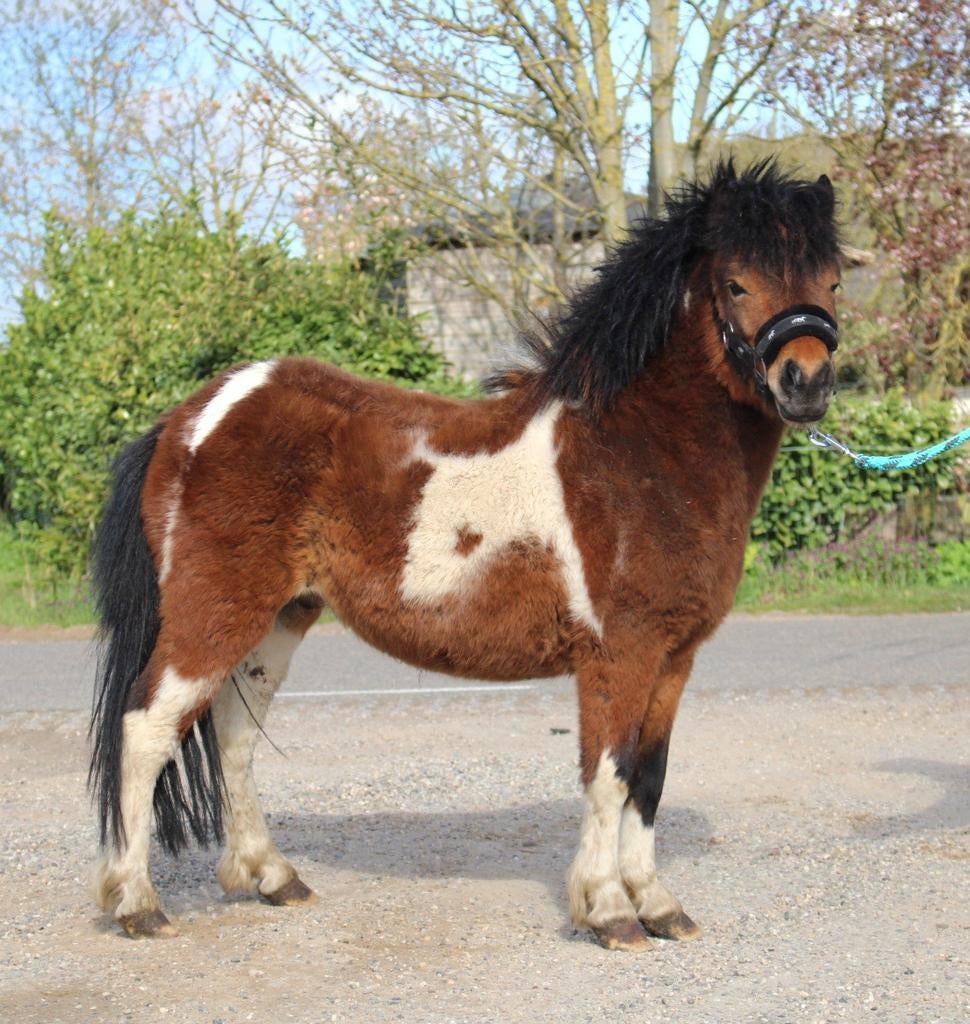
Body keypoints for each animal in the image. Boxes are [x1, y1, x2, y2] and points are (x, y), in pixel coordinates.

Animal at [89, 159, 842, 950]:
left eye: (832, 280)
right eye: (737, 283)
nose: (807, 380)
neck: (637, 452)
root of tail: (192, 416)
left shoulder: (674, 657)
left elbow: (650, 777)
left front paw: (659, 905)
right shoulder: (619, 654)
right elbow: (608, 775)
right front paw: (609, 910)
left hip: (281, 616)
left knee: (233, 733)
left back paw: (271, 877)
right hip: (213, 612)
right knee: (145, 730)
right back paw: (137, 902)